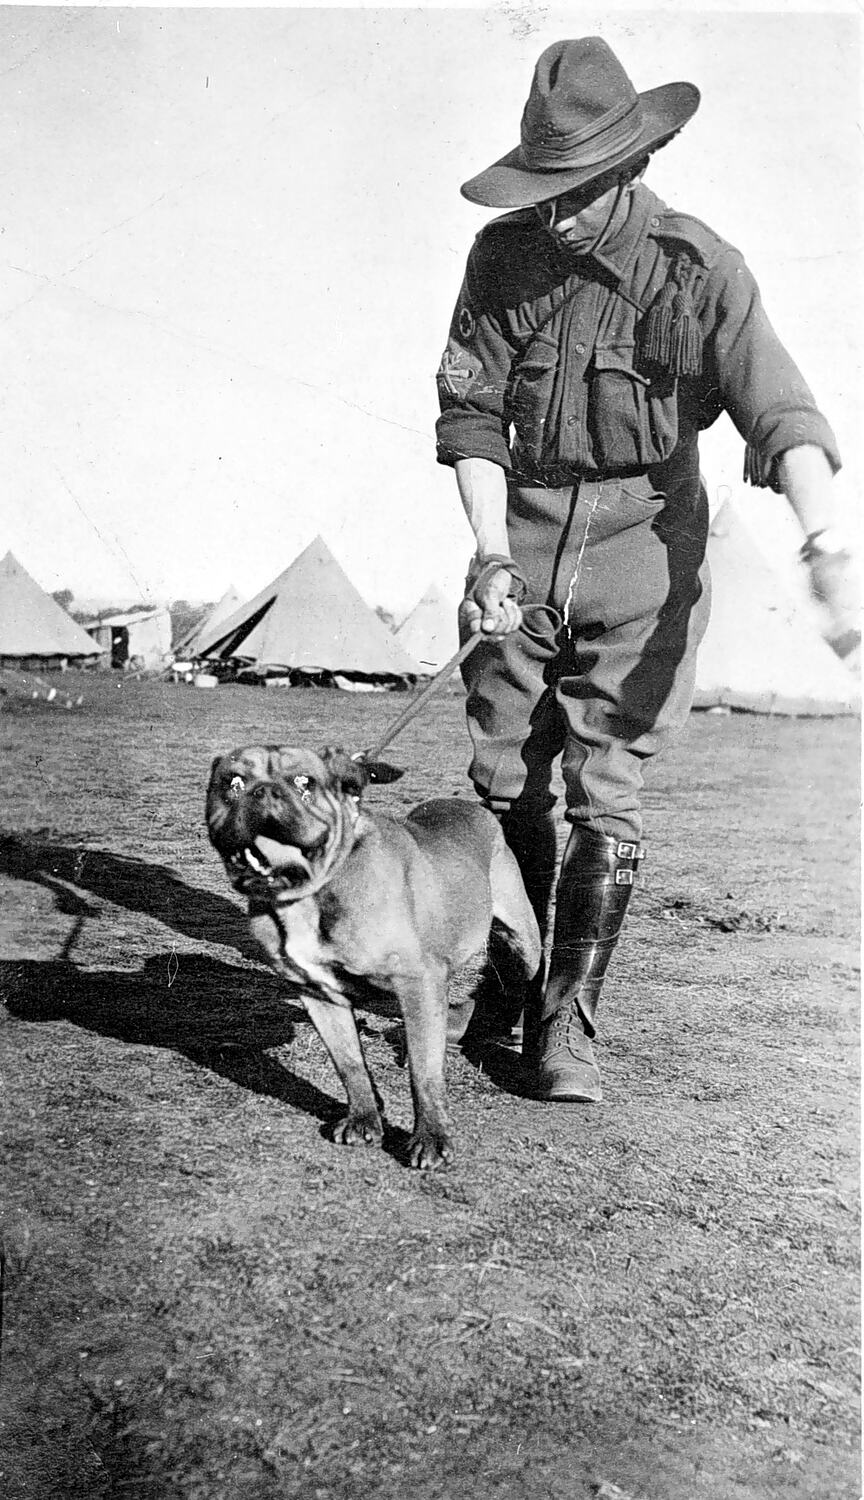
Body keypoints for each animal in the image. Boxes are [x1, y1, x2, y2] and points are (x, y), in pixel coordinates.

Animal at [205, 750, 540, 1170]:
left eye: (304, 782)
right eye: (233, 783)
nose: (263, 792)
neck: (309, 895)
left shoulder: (418, 984)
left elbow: (424, 1073)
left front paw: (431, 1138)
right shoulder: (319, 996)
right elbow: (349, 1064)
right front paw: (364, 1118)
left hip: (523, 941)